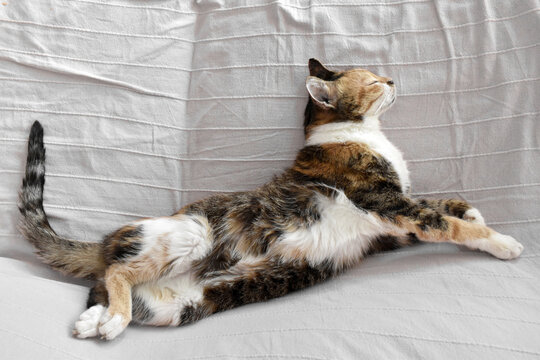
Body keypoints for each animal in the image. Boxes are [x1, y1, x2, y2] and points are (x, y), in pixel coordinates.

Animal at [17, 59, 524, 340]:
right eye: (373, 81)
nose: (394, 79)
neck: (360, 134)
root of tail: (107, 239)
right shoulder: (383, 202)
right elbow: (445, 223)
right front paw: (502, 242)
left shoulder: (391, 224)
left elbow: (440, 206)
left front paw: (470, 207)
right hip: (189, 232)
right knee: (117, 270)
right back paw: (109, 318)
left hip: (175, 307)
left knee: (101, 285)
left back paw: (97, 322)